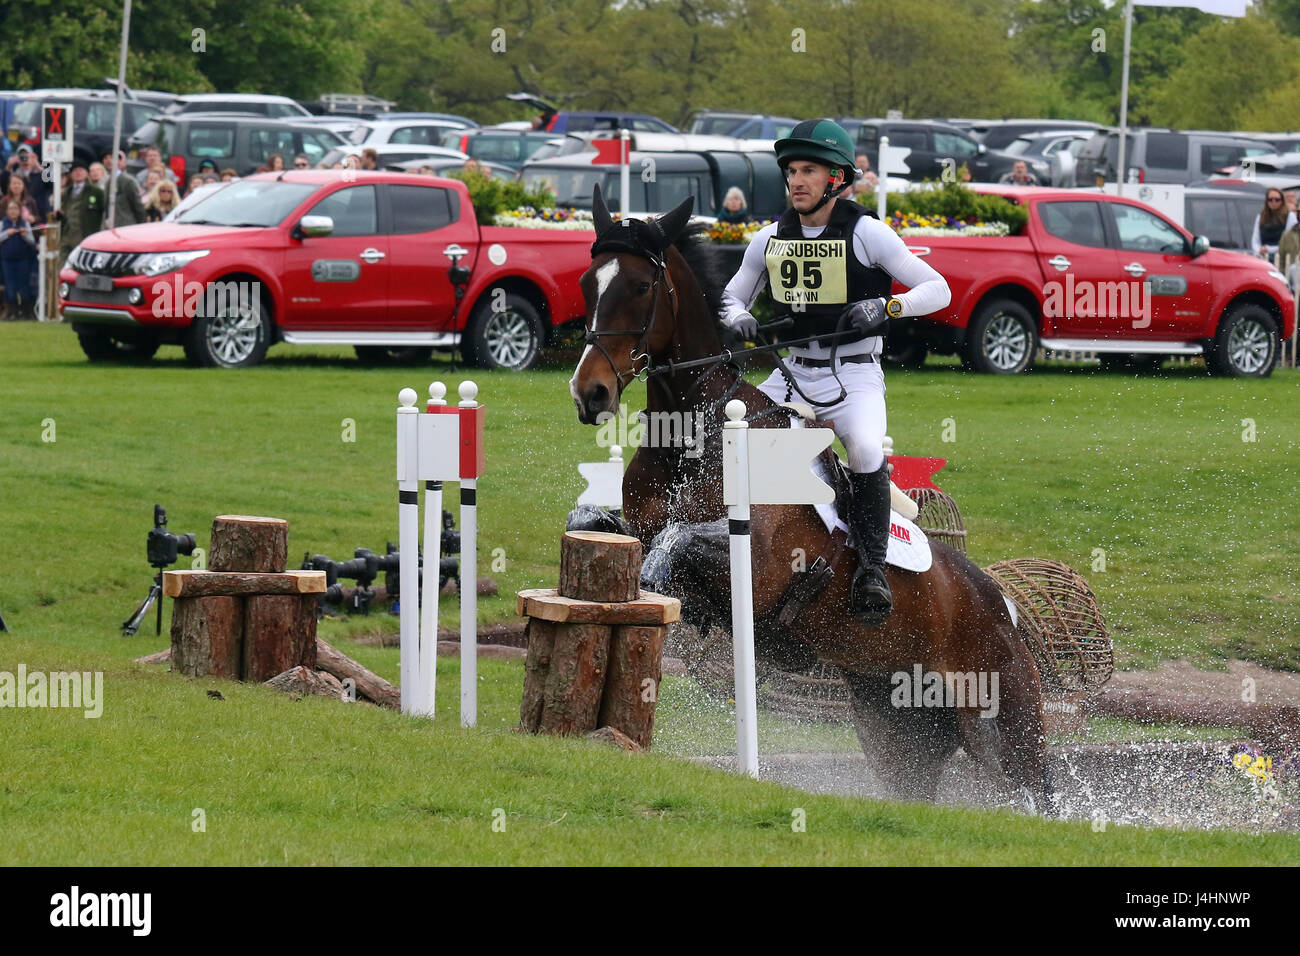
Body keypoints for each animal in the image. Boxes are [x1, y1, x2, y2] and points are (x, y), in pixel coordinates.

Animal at [569, 184, 1045, 806]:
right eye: (587, 283)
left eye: (641, 288)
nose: (590, 393)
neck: (694, 435)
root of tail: (1002, 604)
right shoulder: (640, 527)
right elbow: (597, 520)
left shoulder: (761, 566)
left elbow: (676, 540)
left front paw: (653, 585)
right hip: (896, 726)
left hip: (1008, 723)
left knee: (1041, 789)